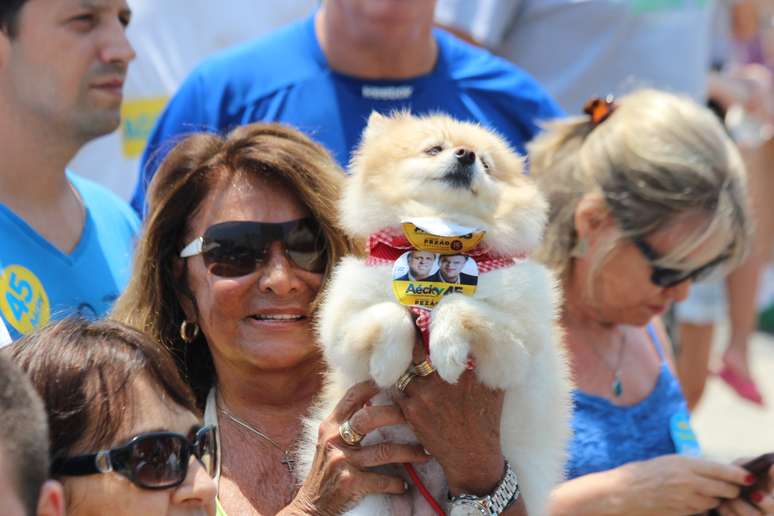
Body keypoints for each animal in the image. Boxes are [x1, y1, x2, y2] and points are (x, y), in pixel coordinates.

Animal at [300, 113, 572, 516]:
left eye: (486, 163)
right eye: (434, 148)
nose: (466, 154)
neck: (442, 240)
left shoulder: (513, 352)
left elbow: (460, 306)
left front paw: (447, 352)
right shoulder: (343, 330)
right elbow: (388, 313)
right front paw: (388, 364)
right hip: (375, 496)